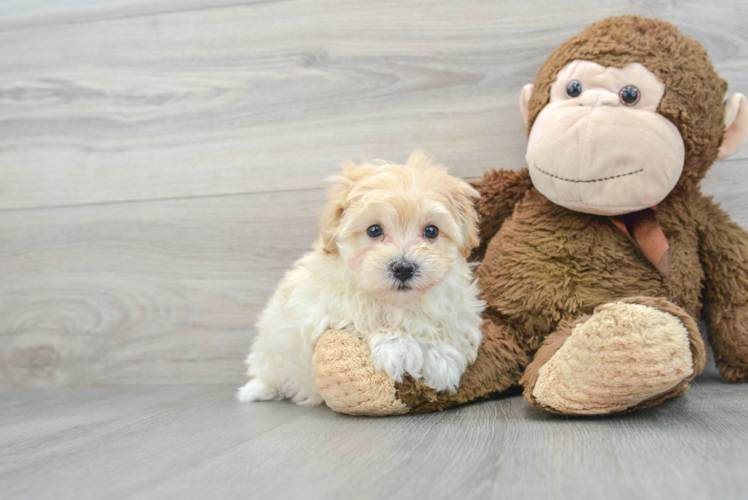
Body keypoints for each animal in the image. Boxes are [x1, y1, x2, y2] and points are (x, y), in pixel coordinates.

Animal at [240, 150, 486, 404]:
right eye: (374, 230)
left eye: (431, 231)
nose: (403, 268)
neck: (400, 304)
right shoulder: (323, 311)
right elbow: (362, 322)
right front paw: (397, 346)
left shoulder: (458, 310)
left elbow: (449, 330)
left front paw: (441, 359)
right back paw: (256, 390)